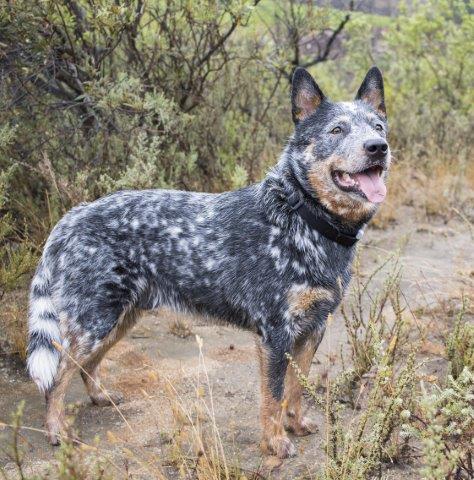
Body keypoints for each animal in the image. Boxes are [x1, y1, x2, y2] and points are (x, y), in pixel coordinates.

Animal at [26, 66, 388, 458]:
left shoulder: (314, 327)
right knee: (57, 377)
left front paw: (296, 423)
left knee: (86, 365)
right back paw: (56, 430)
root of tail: (70, 218)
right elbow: (273, 396)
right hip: (95, 321)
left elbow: (296, 388)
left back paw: (100, 396)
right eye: (337, 130)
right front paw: (275, 441)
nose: (377, 148)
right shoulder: (275, 334)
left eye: (378, 127)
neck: (302, 217)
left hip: (119, 319)